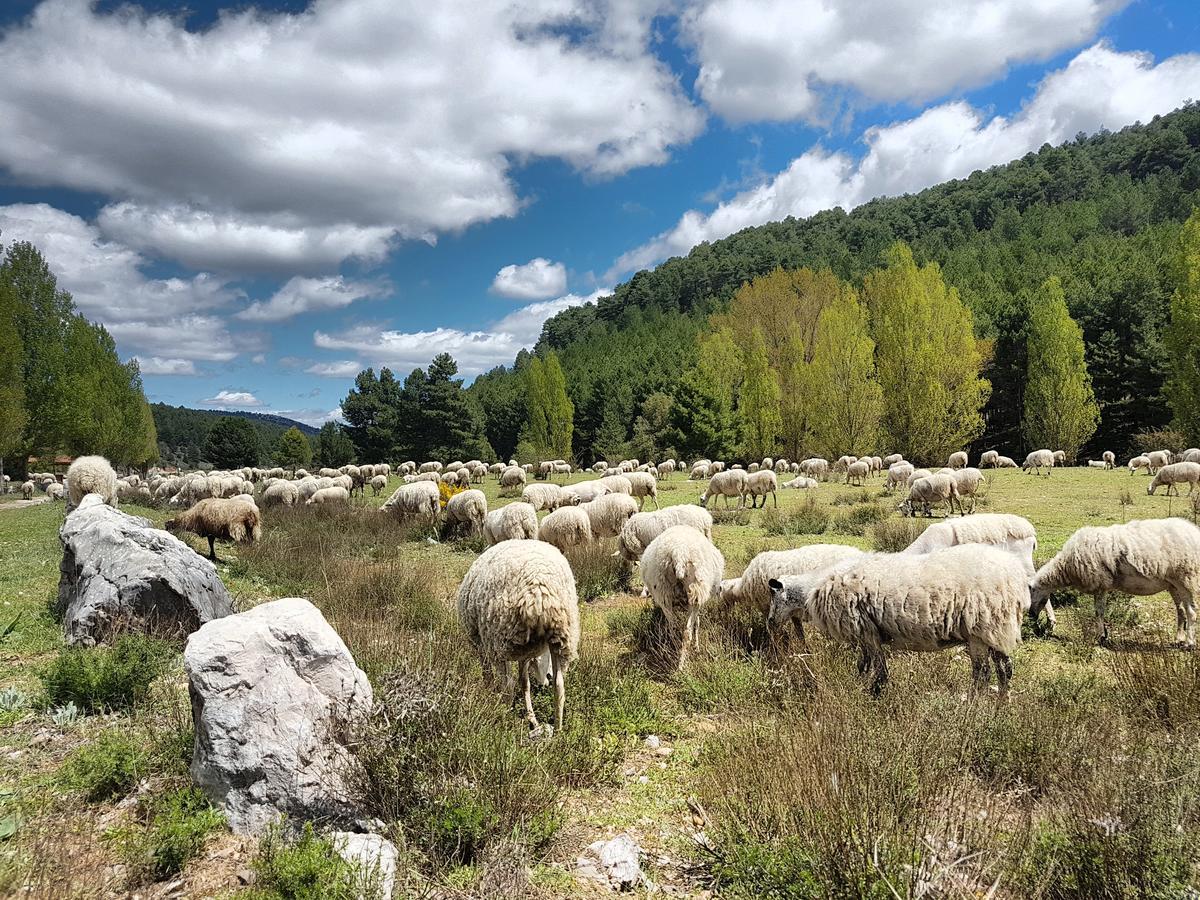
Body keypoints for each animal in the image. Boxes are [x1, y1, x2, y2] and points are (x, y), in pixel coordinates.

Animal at [456, 542, 578, 734]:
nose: (546, 677)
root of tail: (539, 590)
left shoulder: (480, 642)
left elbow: (489, 675)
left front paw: (488, 695)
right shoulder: (525, 652)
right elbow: (524, 683)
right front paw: (531, 718)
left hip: (499, 640)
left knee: (507, 684)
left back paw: (503, 716)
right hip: (562, 637)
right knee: (559, 686)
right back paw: (558, 730)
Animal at [643, 528, 724, 672]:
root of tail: (678, 552)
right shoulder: (698, 601)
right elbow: (697, 623)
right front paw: (697, 647)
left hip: (663, 593)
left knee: (673, 629)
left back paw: (674, 655)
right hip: (694, 592)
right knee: (687, 632)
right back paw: (682, 665)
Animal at [768, 542, 1032, 696]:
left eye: (773, 595)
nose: (770, 622)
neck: (812, 591)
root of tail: (1015, 575)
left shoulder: (866, 630)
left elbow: (880, 670)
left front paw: (873, 694)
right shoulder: (866, 634)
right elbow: (864, 665)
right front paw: (860, 685)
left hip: (979, 628)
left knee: (982, 674)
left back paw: (974, 707)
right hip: (997, 630)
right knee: (1005, 670)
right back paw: (1001, 706)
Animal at [1027, 513, 1200, 648]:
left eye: (1030, 594)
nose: (1031, 615)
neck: (1066, 567)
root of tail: (1194, 532)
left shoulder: (1100, 584)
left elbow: (1098, 612)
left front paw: (1101, 637)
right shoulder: (1101, 586)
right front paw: (1104, 634)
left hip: (1186, 578)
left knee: (1191, 611)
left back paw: (1189, 643)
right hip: (1173, 584)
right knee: (1181, 611)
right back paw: (1179, 639)